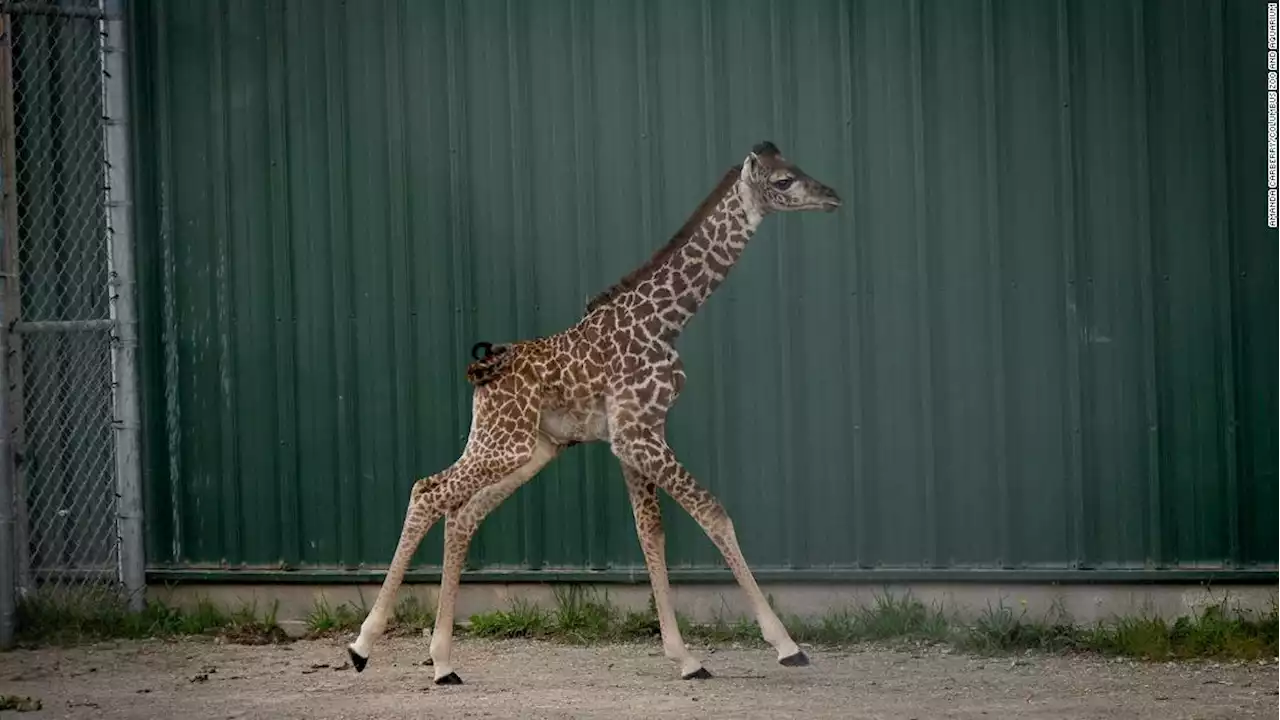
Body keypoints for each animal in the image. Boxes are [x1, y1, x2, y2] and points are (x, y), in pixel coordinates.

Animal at [350, 141, 844, 681]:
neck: (665, 321)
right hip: (505, 444)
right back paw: (361, 646)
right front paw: (785, 645)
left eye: (796, 168)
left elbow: (651, 533)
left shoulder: (636, 436)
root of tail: (482, 374)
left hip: (528, 449)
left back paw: (442, 662)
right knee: (427, 492)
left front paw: (685, 656)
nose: (833, 196)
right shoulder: (637, 434)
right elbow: (713, 513)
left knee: (461, 513)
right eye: (783, 182)